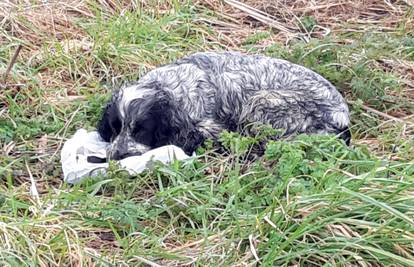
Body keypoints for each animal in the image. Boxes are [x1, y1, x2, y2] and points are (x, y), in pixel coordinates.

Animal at [97, 52, 350, 161]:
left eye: (142, 131)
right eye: (115, 128)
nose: (117, 156)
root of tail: (343, 119)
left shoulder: (209, 126)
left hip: (261, 102)